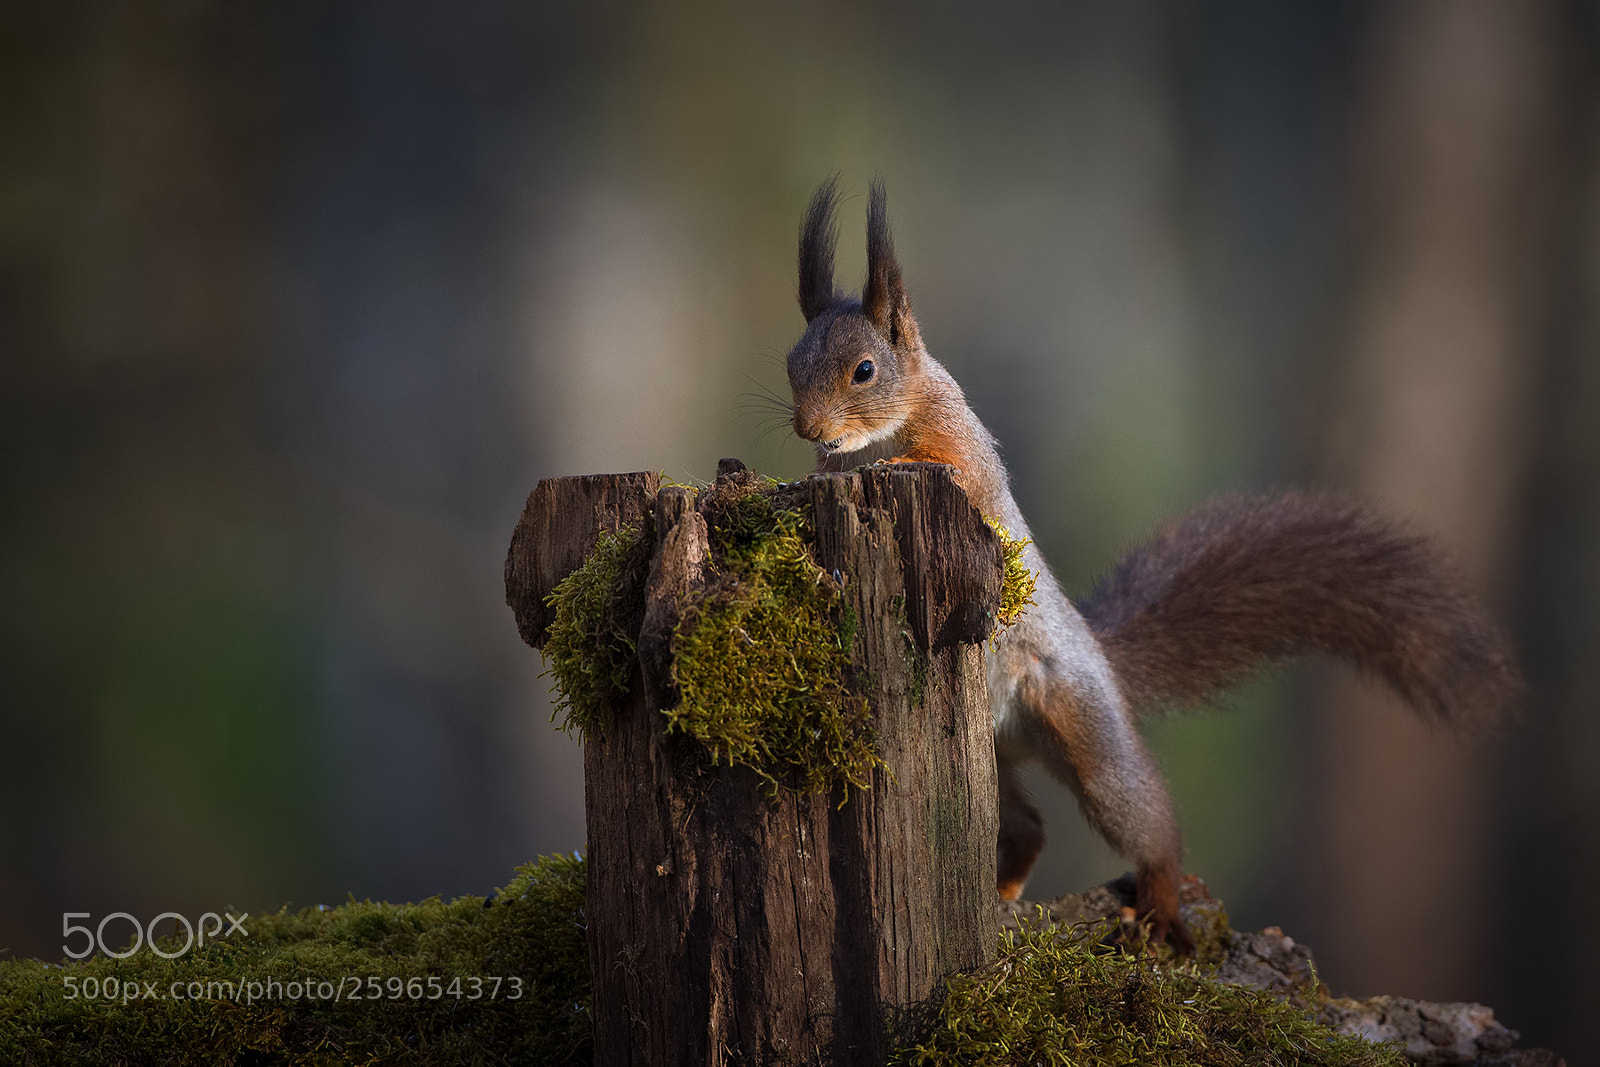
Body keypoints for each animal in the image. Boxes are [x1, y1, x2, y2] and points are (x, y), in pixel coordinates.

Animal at [780, 177, 1523, 952]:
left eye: (865, 371)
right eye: (790, 366)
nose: (810, 429)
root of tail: (1100, 660)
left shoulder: (966, 452)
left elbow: (955, 472)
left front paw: (898, 464)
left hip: (1079, 720)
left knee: (1141, 817)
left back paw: (1161, 902)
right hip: (990, 753)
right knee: (1027, 826)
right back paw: (1003, 896)